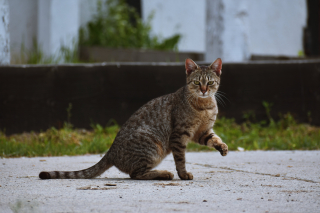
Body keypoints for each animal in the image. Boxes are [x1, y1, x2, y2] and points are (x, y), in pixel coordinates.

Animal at [39, 58, 228, 180]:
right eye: (196, 83)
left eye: (210, 83)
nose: (203, 90)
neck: (205, 106)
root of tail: (111, 151)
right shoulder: (179, 134)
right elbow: (180, 159)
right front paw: (183, 174)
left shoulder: (202, 132)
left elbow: (214, 139)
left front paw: (222, 147)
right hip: (153, 148)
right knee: (135, 174)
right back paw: (164, 174)